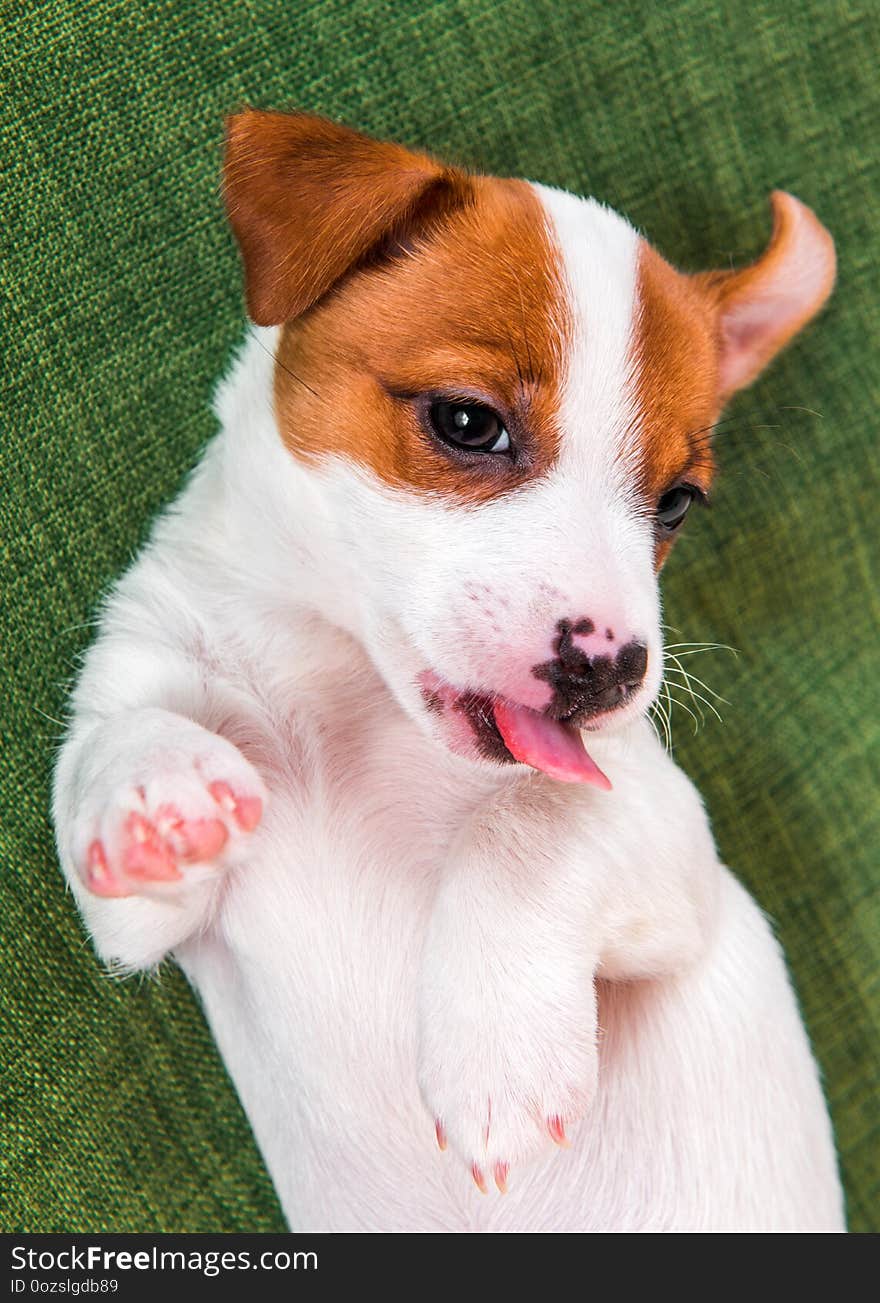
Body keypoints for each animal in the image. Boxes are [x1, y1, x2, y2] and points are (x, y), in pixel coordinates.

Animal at [49, 112, 844, 1230]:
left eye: (677, 504)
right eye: (468, 422)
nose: (611, 672)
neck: (336, 677)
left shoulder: (671, 854)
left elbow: (531, 817)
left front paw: (498, 1058)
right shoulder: (139, 918)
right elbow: (107, 749)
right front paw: (153, 793)